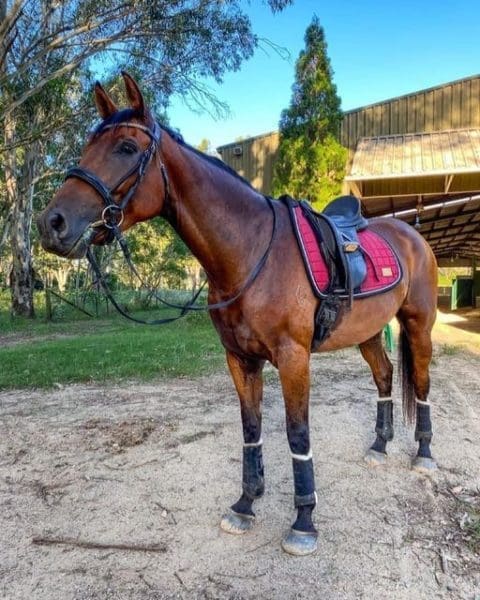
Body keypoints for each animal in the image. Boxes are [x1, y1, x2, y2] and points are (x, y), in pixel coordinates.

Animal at [38, 72, 438, 556]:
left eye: (127, 148)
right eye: (86, 147)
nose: (52, 224)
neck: (250, 253)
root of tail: (409, 232)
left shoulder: (293, 358)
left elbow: (297, 433)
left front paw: (304, 521)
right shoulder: (240, 359)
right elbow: (251, 429)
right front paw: (246, 504)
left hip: (418, 325)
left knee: (421, 383)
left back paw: (424, 455)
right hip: (368, 333)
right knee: (384, 376)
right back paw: (379, 446)